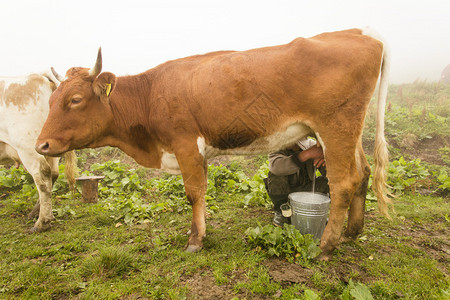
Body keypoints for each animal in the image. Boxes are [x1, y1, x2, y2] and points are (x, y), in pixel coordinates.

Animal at [0, 71, 75, 231]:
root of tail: (41, 75)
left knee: (43, 175)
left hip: (27, 146)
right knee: (53, 174)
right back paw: (36, 213)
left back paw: (42, 222)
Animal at [37, 28, 392, 260]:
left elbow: (194, 193)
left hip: (335, 127)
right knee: (362, 172)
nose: (42, 145)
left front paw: (195, 240)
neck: (150, 95)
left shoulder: (185, 144)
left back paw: (326, 247)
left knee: (343, 183)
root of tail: (360, 33)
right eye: (51, 100)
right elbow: (202, 192)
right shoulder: (197, 150)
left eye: (75, 100)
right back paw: (352, 232)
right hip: (345, 132)